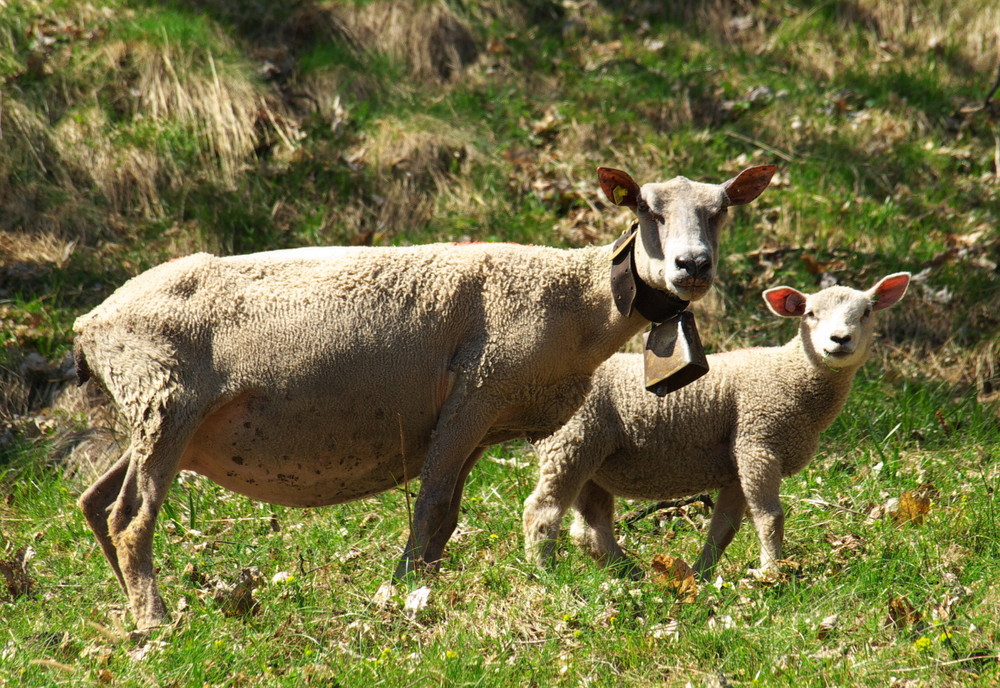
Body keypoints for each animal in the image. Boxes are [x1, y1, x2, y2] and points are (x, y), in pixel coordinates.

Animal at [74, 163, 772, 628]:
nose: (693, 266)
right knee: (129, 516)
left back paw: (132, 610)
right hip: (165, 399)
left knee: (96, 502)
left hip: (159, 417)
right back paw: (156, 622)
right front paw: (402, 592)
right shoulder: (477, 389)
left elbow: (449, 514)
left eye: (720, 211)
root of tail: (91, 322)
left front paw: (425, 585)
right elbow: (432, 506)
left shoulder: (480, 420)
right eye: (648, 211)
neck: (574, 301)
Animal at [524, 272, 916, 576]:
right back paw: (546, 573)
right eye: (810, 314)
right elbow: (770, 517)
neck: (792, 376)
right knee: (541, 511)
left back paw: (629, 574)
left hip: (590, 456)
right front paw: (772, 571)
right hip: (572, 442)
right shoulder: (758, 441)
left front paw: (702, 574)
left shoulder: (737, 462)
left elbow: (724, 528)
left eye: (866, 312)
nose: (840, 340)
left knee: (590, 528)